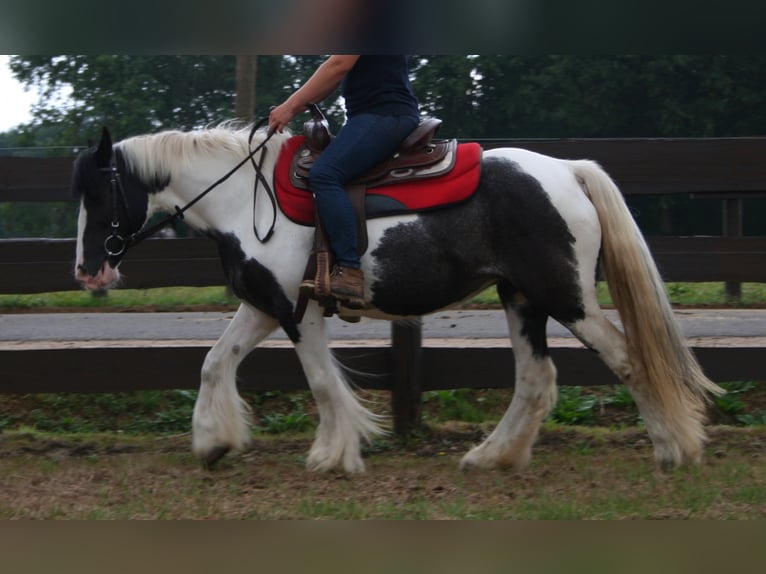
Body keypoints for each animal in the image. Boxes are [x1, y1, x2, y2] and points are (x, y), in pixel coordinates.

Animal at [72, 124, 728, 474]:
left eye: (98, 193)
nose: (87, 270)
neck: (243, 198)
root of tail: (568, 170)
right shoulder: (263, 307)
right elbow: (214, 362)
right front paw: (213, 443)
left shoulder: (299, 313)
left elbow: (321, 382)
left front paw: (333, 455)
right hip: (522, 299)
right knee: (536, 379)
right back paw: (490, 457)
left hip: (566, 297)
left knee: (628, 359)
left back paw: (673, 449)